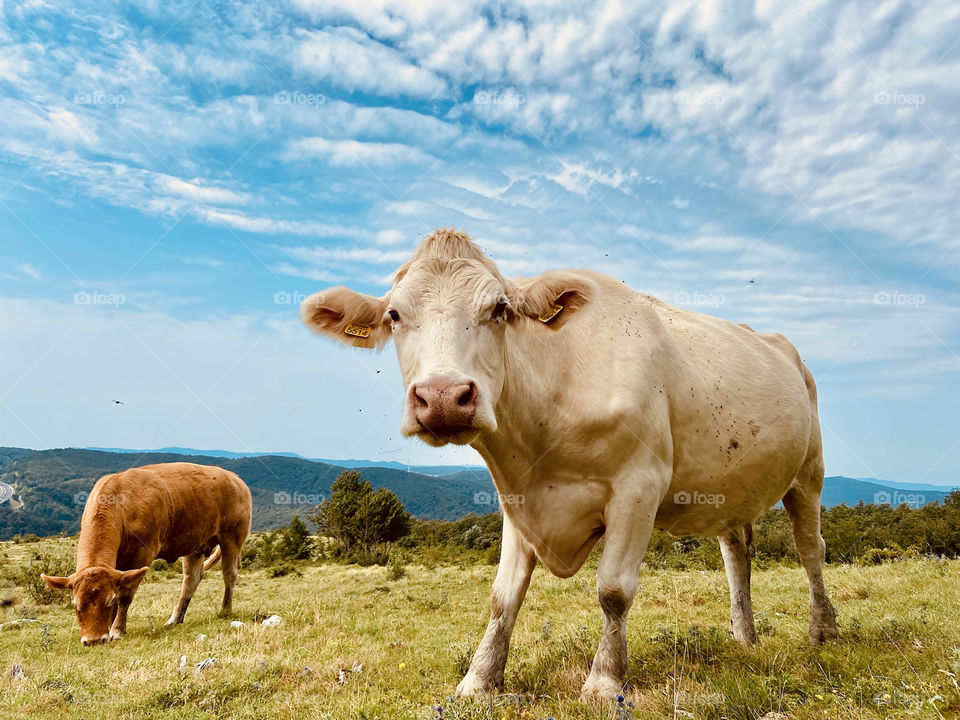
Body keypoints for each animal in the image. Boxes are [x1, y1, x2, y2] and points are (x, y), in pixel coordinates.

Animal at [41, 464, 251, 644]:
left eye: (108, 602)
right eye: (75, 605)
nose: (92, 640)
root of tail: (234, 477)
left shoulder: (140, 556)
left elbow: (124, 596)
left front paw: (116, 630)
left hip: (232, 536)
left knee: (229, 574)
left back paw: (225, 610)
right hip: (195, 543)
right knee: (191, 579)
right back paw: (175, 619)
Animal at [300, 231, 832, 704]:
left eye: (499, 309)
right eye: (394, 314)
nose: (444, 396)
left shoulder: (639, 486)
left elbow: (613, 590)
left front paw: (604, 681)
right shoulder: (516, 499)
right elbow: (503, 596)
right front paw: (479, 678)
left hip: (809, 471)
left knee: (811, 549)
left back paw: (823, 629)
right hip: (729, 484)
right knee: (736, 551)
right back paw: (745, 636)